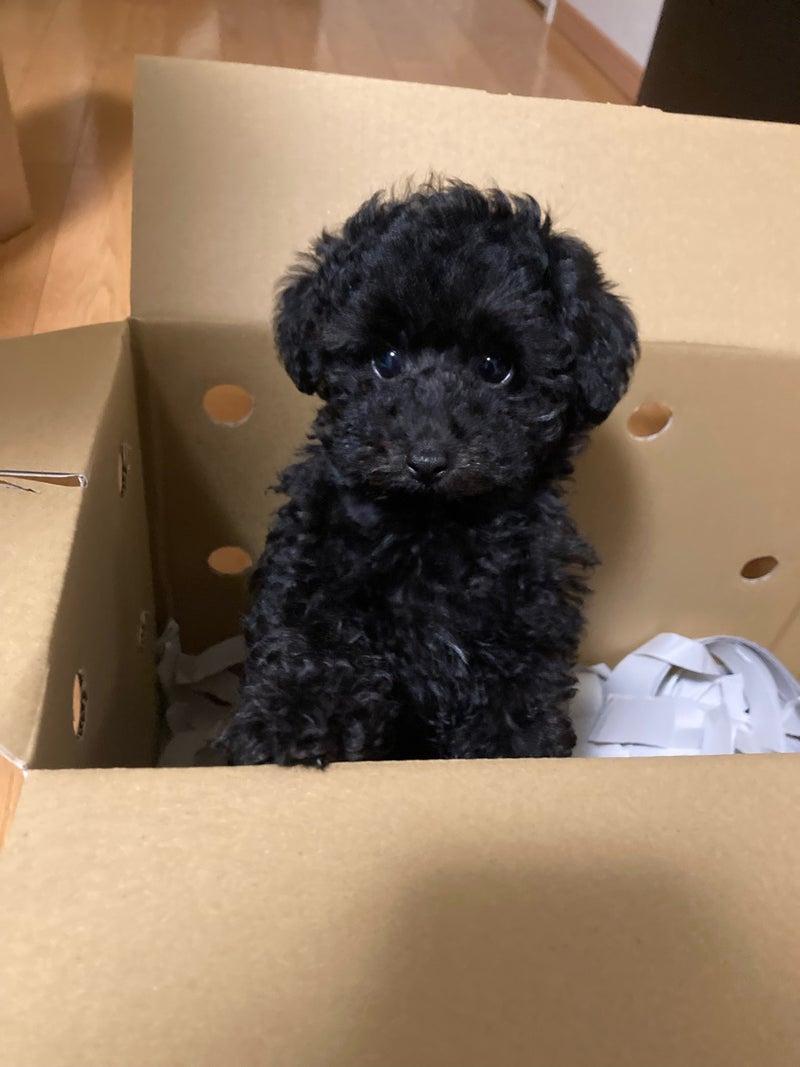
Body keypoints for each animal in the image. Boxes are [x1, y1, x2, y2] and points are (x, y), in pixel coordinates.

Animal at [218, 180, 638, 766]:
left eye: (495, 368)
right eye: (387, 360)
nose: (427, 461)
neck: (431, 524)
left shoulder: (527, 621)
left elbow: (515, 701)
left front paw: (510, 757)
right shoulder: (313, 570)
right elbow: (314, 644)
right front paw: (285, 727)